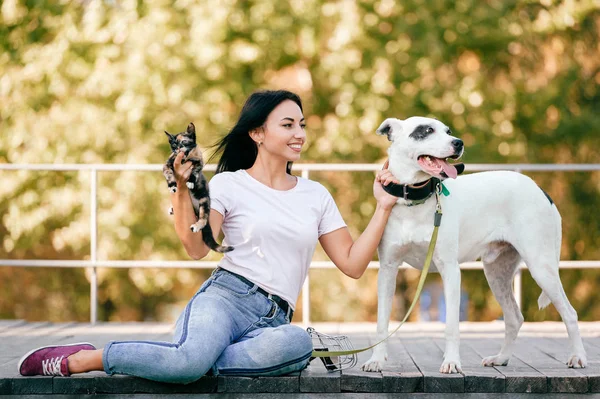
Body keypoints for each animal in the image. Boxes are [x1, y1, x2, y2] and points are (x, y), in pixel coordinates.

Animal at [163, 122, 233, 253]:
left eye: (184, 142)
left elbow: (195, 170)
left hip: (204, 200)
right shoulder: (167, 164)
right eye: (173, 144)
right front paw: (172, 185)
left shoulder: (199, 161)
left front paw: (190, 181)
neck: (184, 159)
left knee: (204, 219)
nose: (177, 148)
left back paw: (197, 225)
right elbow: (169, 174)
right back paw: (172, 208)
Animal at [360, 115, 584, 376]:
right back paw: (501, 358)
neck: (414, 199)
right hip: (496, 273)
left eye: (448, 131)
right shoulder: (387, 270)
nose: (458, 143)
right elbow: (381, 323)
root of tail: (540, 190)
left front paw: (451, 362)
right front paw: (377, 360)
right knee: (514, 317)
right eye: (425, 131)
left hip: (541, 267)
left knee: (569, 313)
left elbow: (451, 326)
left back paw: (578, 357)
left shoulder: (450, 270)